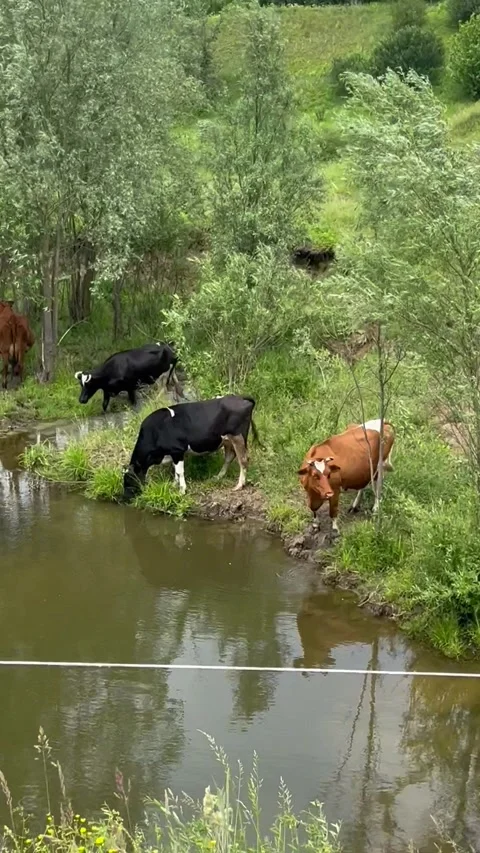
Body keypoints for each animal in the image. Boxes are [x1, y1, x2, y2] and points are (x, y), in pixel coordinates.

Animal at [122, 394, 259, 501]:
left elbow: (179, 471)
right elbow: (175, 470)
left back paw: (239, 485)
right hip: (226, 439)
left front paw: (182, 490)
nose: (125, 498)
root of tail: (240, 397)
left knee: (243, 459)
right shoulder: (173, 453)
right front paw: (174, 484)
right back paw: (218, 476)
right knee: (230, 456)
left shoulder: (177, 450)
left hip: (238, 435)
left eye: (128, 480)